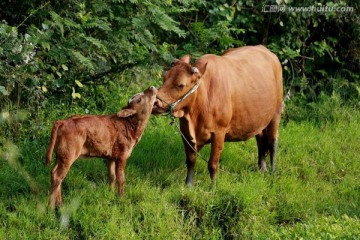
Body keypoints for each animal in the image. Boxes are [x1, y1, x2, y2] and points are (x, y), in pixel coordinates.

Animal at [152, 46, 282, 187]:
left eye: (181, 85)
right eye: (164, 77)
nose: (155, 102)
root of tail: (264, 49)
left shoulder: (219, 133)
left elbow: (212, 164)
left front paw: (213, 186)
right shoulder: (185, 132)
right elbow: (191, 160)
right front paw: (189, 184)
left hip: (276, 114)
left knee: (272, 142)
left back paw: (272, 170)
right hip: (258, 119)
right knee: (261, 141)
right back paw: (262, 168)